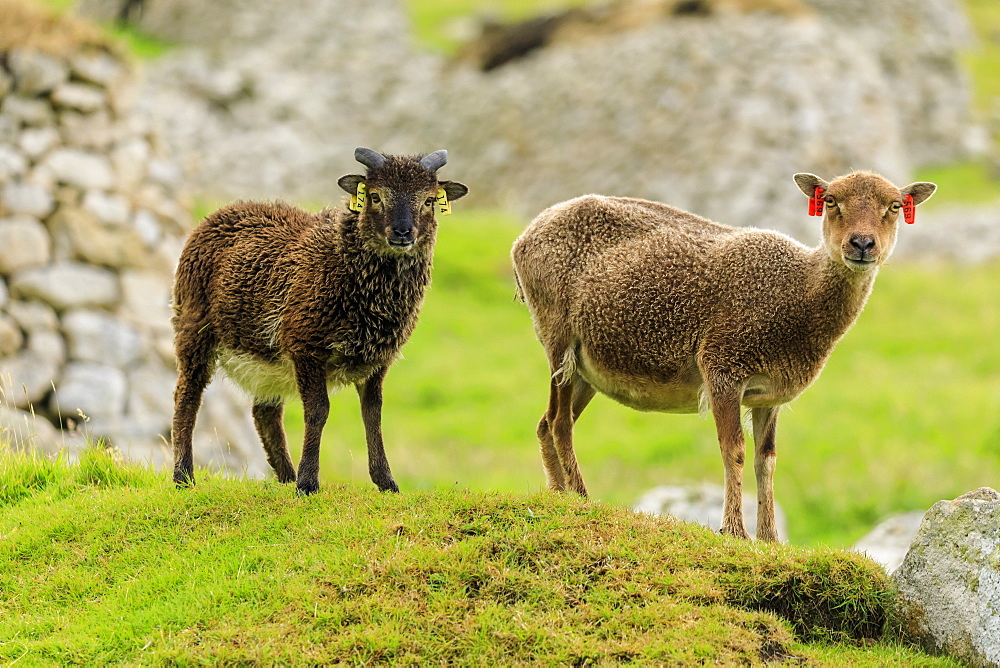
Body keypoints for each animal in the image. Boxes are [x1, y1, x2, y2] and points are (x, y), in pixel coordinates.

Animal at [172, 149, 468, 494]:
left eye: (429, 200)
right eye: (375, 197)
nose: (403, 232)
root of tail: (224, 211)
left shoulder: (378, 358)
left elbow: (373, 414)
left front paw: (386, 482)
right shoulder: (305, 344)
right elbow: (317, 411)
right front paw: (308, 483)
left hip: (267, 360)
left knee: (264, 412)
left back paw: (285, 477)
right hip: (194, 326)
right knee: (187, 395)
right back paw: (183, 476)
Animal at [516, 171, 936, 536]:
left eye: (895, 205)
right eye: (831, 200)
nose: (862, 244)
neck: (799, 292)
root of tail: (526, 236)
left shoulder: (770, 394)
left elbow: (767, 461)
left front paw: (769, 538)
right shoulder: (722, 366)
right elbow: (733, 450)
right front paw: (735, 531)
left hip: (587, 367)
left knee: (544, 422)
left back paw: (559, 493)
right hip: (558, 337)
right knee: (559, 421)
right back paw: (578, 496)